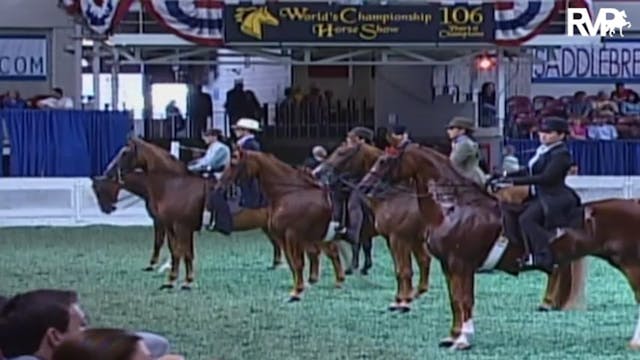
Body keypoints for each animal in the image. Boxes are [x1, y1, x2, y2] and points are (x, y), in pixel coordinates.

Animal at [90, 171, 282, 270]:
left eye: (101, 188)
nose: (107, 209)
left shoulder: (166, 223)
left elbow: (164, 243)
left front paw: (158, 265)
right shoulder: (169, 224)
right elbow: (171, 244)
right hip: (267, 226)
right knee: (276, 244)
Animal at [216, 149, 348, 300]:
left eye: (234, 162)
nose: (219, 185)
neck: (289, 194)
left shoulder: (293, 236)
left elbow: (297, 262)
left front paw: (297, 291)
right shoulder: (283, 237)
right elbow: (292, 263)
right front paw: (297, 288)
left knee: (328, 252)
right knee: (330, 252)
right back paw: (336, 281)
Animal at [358, 145, 640, 350]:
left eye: (385, 161)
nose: (363, 187)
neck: (454, 208)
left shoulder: (461, 264)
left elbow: (465, 299)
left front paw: (463, 339)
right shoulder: (448, 265)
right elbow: (454, 300)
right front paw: (452, 336)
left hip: (631, 264)